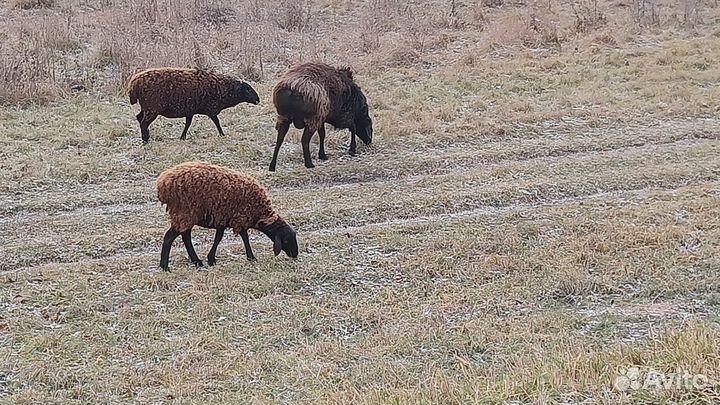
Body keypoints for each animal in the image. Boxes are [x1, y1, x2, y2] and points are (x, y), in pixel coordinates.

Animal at [128, 68, 260, 144]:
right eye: (248, 89)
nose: (258, 100)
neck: (223, 88)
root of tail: (133, 84)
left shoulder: (190, 111)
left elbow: (188, 124)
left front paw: (182, 137)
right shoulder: (211, 109)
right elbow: (217, 122)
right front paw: (222, 134)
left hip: (146, 107)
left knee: (139, 117)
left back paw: (146, 137)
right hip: (152, 108)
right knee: (143, 123)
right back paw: (145, 140)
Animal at [156, 159, 296, 270]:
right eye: (286, 240)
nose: (295, 255)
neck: (259, 212)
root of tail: (163, 183)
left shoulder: (224, 218)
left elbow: (219, 237)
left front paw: (211, 259)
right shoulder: (239, 217)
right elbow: (243, 237)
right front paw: (251, 257)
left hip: (186, 215)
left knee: (185, 235)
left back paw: (196, 261)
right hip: (185, 212)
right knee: (169, 237)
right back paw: (165, 266)